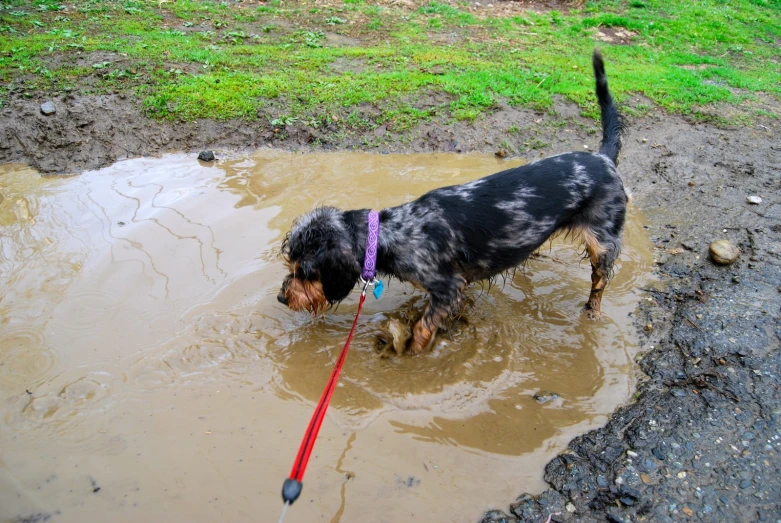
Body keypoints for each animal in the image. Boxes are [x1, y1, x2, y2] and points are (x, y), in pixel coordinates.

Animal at [278, 49, 624, 354]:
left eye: (305, 270)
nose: (282, 298)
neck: (394, 231)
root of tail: (603, 158)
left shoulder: (447, 286)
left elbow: (423, 327)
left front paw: (411, 353)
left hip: (603, 241)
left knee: (599, 282)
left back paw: (592, 311)